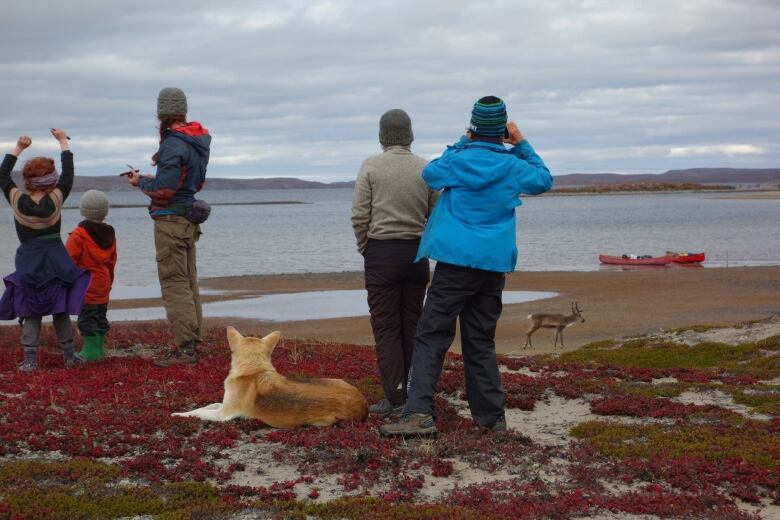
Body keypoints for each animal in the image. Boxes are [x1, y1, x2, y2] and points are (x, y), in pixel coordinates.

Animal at [172, 328, 368, 428]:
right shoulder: (223, 406)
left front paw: (179, 414)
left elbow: (198, 413)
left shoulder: (223, 415)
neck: (254, 369)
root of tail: (363, 405)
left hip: (321, 421)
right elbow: (207, 405)